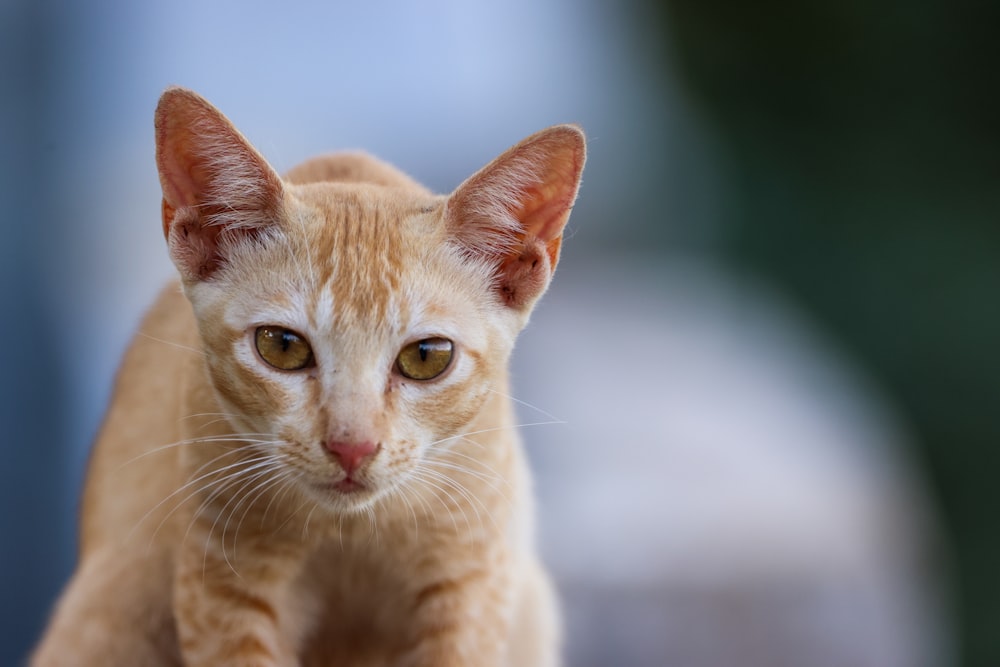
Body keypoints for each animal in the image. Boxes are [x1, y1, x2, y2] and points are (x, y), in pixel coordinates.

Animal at [29, 86, 584, 664]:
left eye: (427, 356)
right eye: (282, 346)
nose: (351, 447)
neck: (351, 532)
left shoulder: (471, 583)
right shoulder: (221, 584)